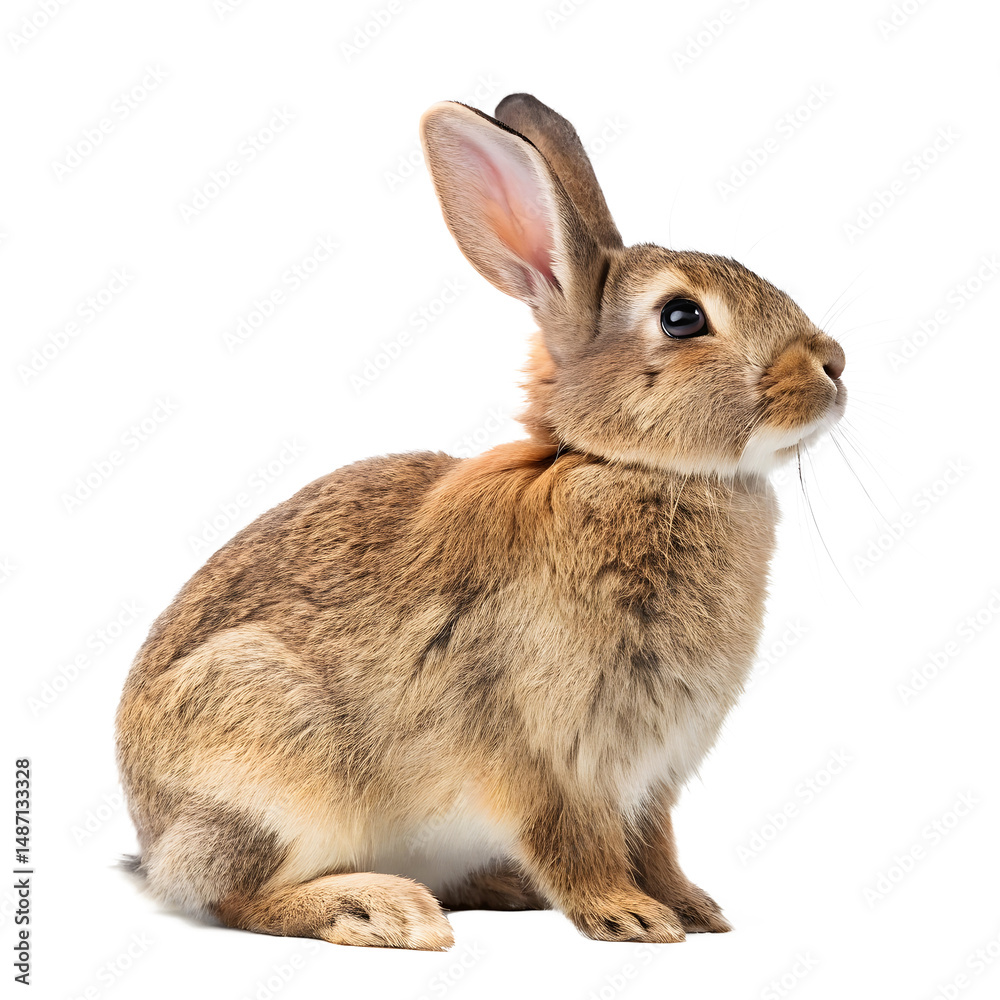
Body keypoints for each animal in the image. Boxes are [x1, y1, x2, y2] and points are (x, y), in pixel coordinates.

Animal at [115, 92, 846, 951]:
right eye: (681, 317)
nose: (833, 364)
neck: (625, 466)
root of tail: (153, 837)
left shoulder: (651, 778)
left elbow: (656, 844)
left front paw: (694, 910)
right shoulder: (544, 753)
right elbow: (574, 841)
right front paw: (630, 917)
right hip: (270, 756)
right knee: (233, 894)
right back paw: (380, 910)